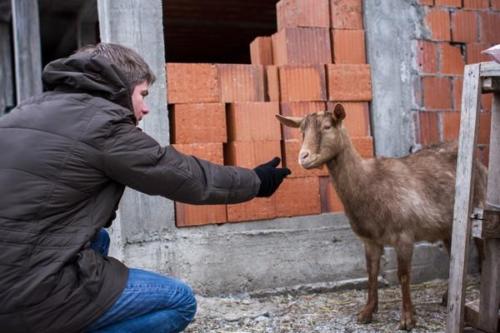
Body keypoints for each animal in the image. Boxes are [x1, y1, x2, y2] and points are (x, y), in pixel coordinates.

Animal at [276, 104, 486, 330]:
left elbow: (403, 275)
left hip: (478, 210)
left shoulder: (404, 235)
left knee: (481, 250)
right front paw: (367, 311)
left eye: (327, 127)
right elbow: (371, 272)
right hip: (448, 226)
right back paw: (447, 297)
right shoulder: (369, 240)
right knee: (453, 256)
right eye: (301, 132)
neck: (371, 183)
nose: (303, 157)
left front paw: (407, 319)